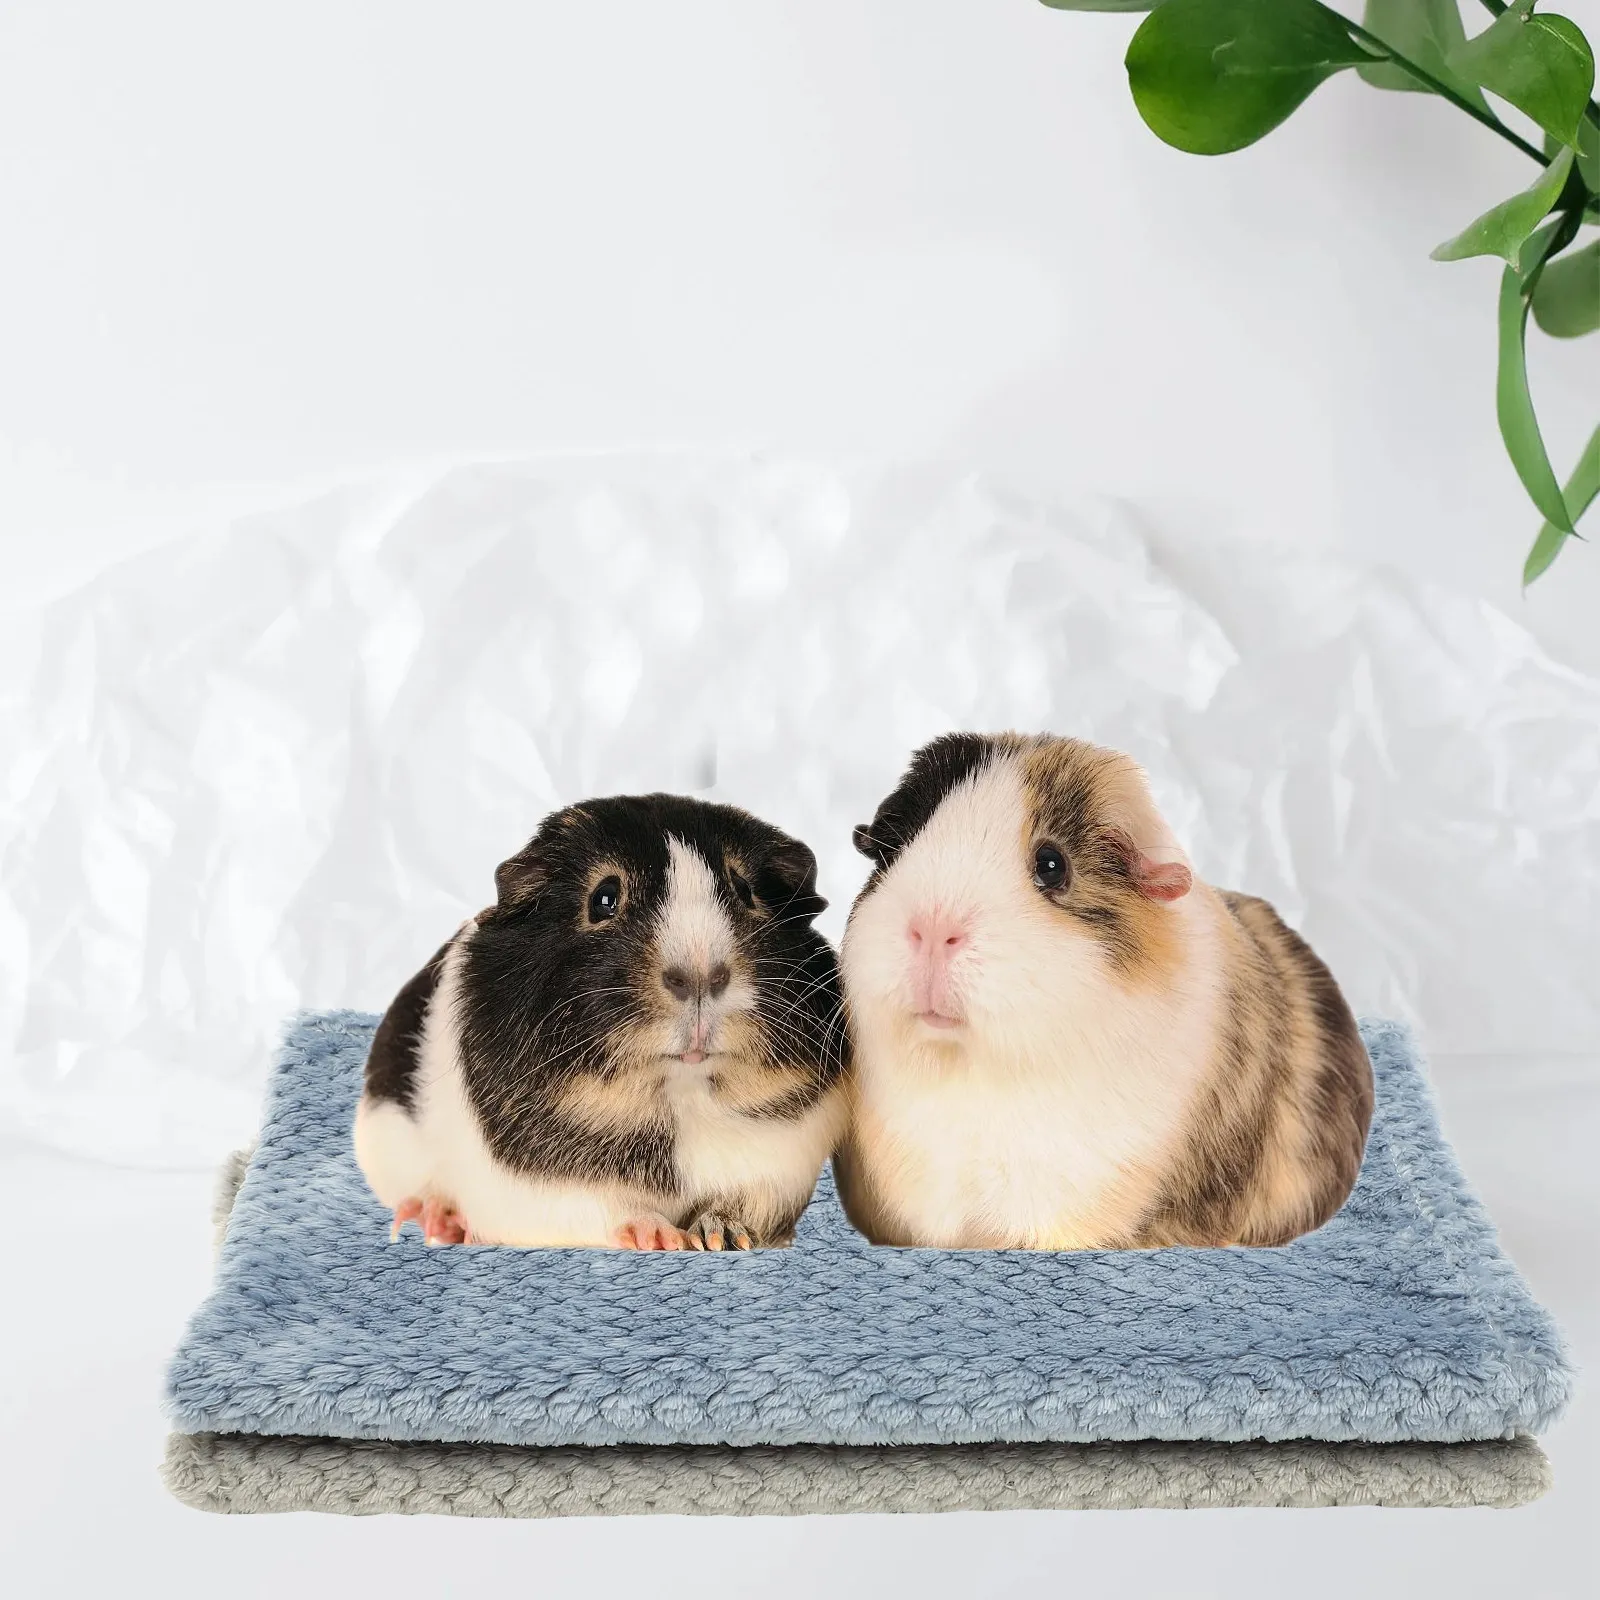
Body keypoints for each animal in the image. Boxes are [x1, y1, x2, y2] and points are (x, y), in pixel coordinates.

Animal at [354, 794, 850, 1249]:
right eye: (604, 899)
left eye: (746, 891)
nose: (700, 976)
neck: (677, 1095)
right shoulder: (545, 1194)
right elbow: (614, 1212)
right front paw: (665, 1238)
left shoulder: (782, 1161)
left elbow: (746, 1203)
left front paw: (720, 1236)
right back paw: (438, 1222)